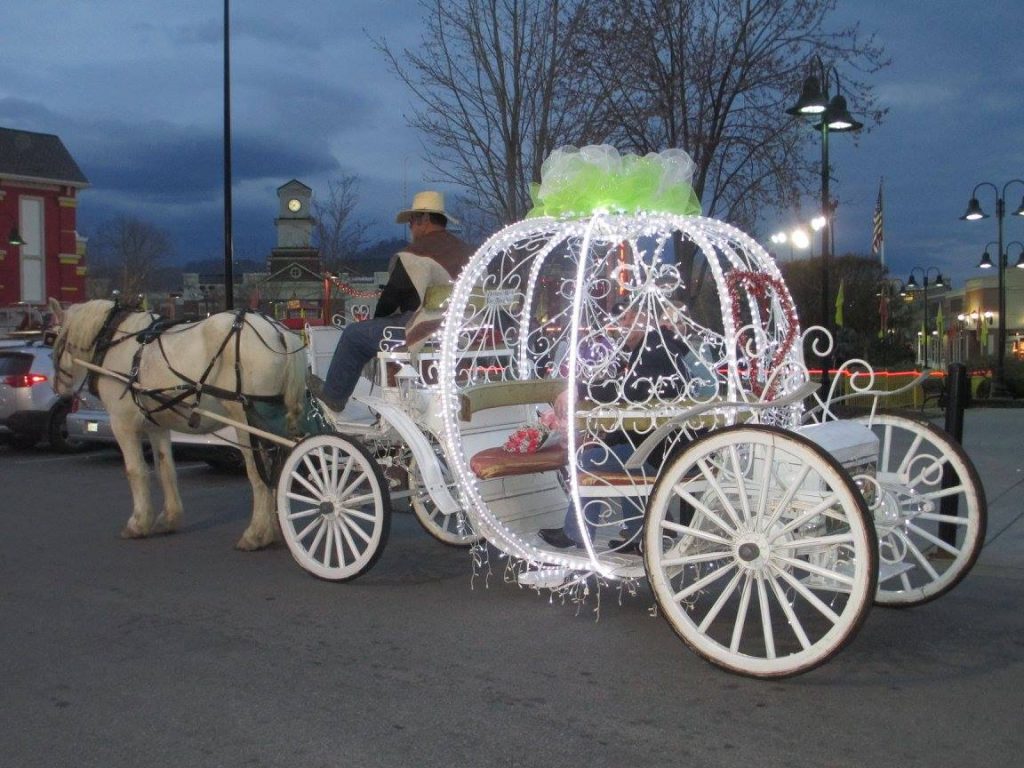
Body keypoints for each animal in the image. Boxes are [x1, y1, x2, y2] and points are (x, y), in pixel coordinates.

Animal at [50, 296, 307, 548]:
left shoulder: (122, 423)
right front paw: (169, 518)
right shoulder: (157, 425)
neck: (113, 341)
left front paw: (138, 523)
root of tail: (279, 332)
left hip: (246, 420)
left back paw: (255, 534)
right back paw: (272, 528)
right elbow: (165, 469)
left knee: (257, 473)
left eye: (55, 340)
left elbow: (136, 471)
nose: (59, 390)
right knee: (274, 470)